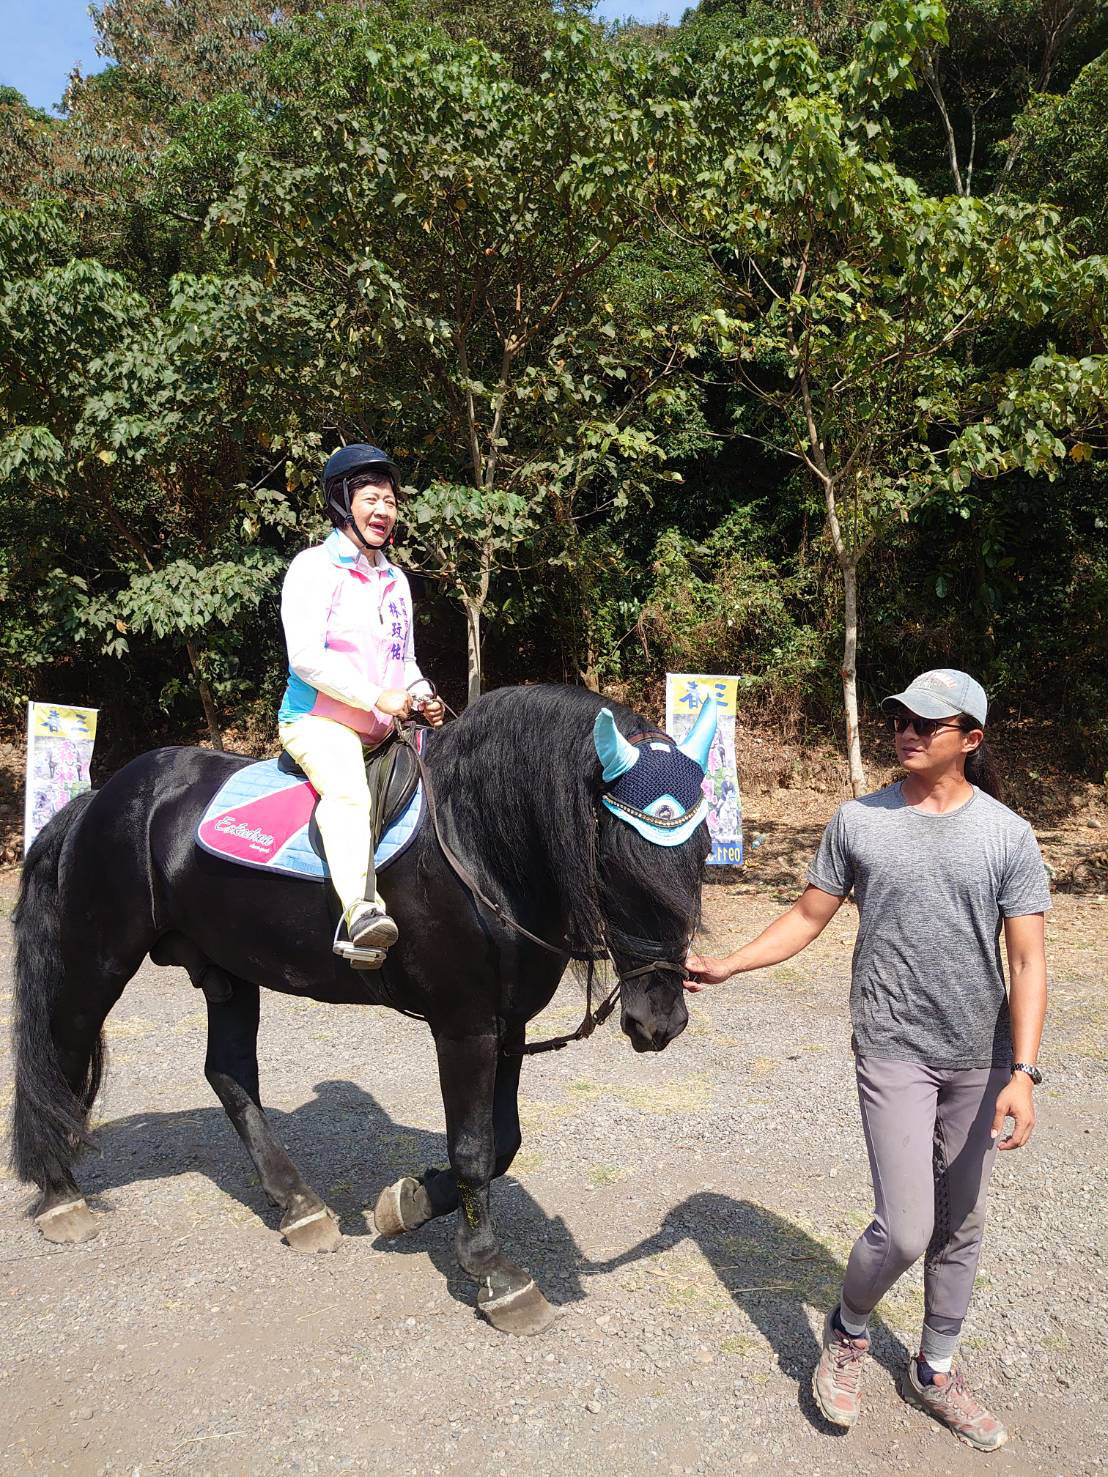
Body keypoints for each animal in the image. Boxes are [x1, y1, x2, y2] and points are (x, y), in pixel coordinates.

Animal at [10, 685, 720, 1335]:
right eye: (614, 859)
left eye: (702, 850)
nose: (660, 1022)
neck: (476, 844)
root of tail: (101, 798)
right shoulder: (464, 1026)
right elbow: (473, 1146)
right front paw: (494, 1273)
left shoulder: (508, 1024)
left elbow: (505, 1139)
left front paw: (409, 1204)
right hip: (99, 961)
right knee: (60, 1056)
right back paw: (60, 1195)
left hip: (228, 972)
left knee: (229, 1073)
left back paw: (299, 1207)